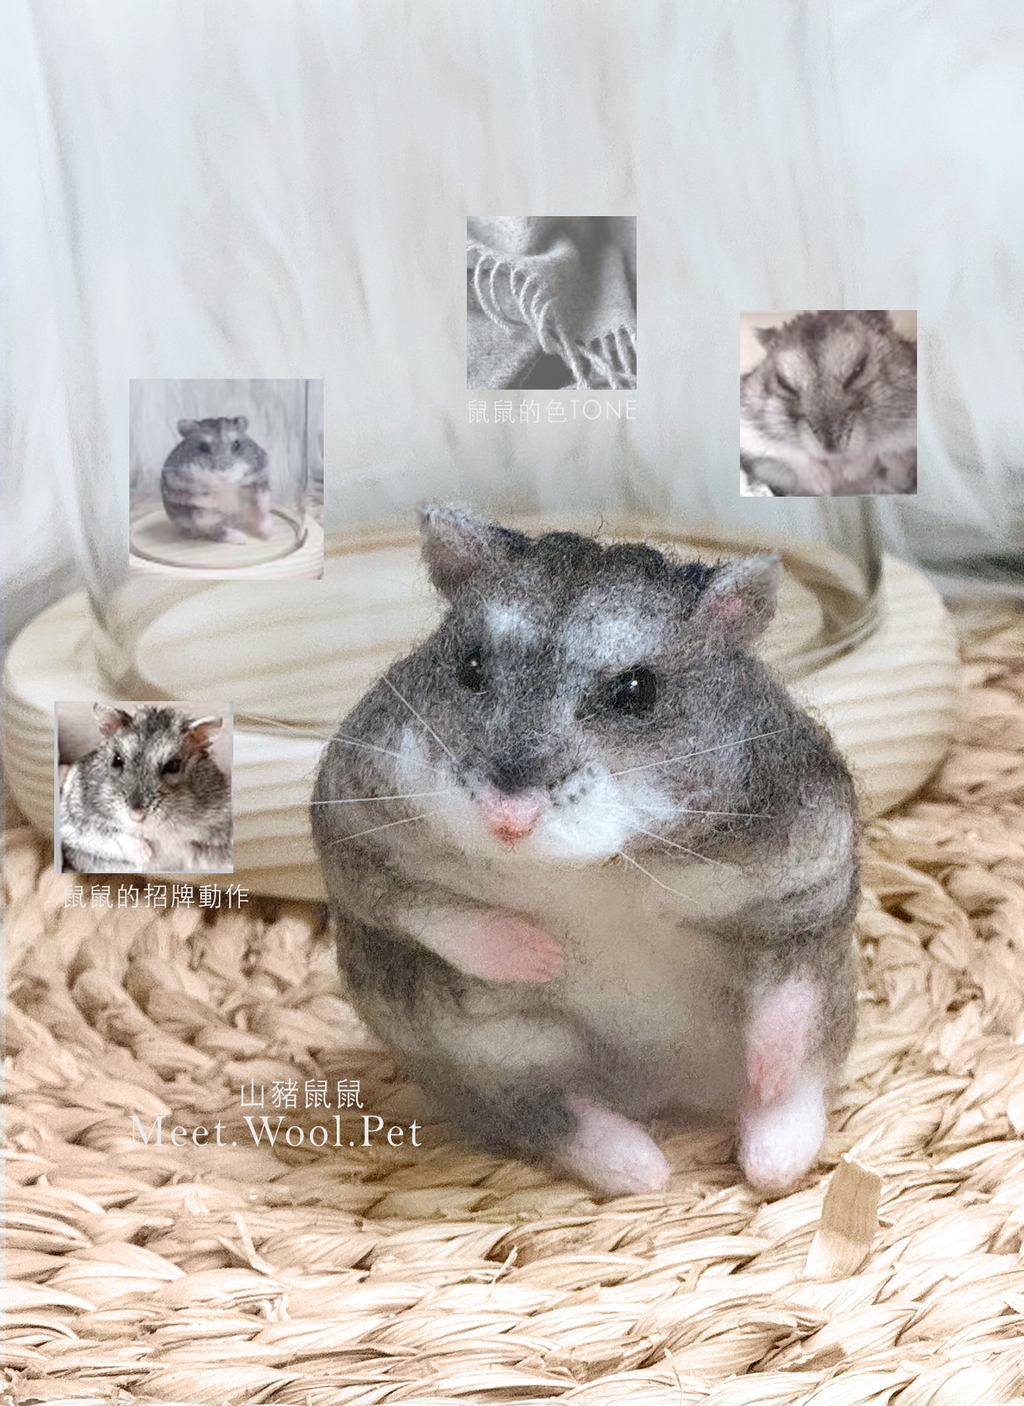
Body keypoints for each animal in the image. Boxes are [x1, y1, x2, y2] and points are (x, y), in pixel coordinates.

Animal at [61, 705, 233, 873]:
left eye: (173, 766)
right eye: (117, 760)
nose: (136, 816)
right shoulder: (74, 820)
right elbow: (110, 834)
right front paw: (146, 855)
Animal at [311, 506, 860, 1197]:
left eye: (636, 690)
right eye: (470, 666)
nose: (508, 818)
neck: (588, 868)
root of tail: (656, 1087)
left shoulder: (809, 872)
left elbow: (788, 990)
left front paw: (767, 1073)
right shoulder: (347, 830)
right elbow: (425, 909)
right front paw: (541, 957)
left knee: (803, 1071)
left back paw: (770, 1154)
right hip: (483, 1053)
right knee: (546, 1110)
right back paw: (644, 1170)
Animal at [741, 311, 917, 496]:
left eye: (858, 370)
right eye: (784, 384)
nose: (831, 450)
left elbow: (880, 448)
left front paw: (850, 473)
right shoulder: (748, 429)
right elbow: (790, 453)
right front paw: (823, 484)